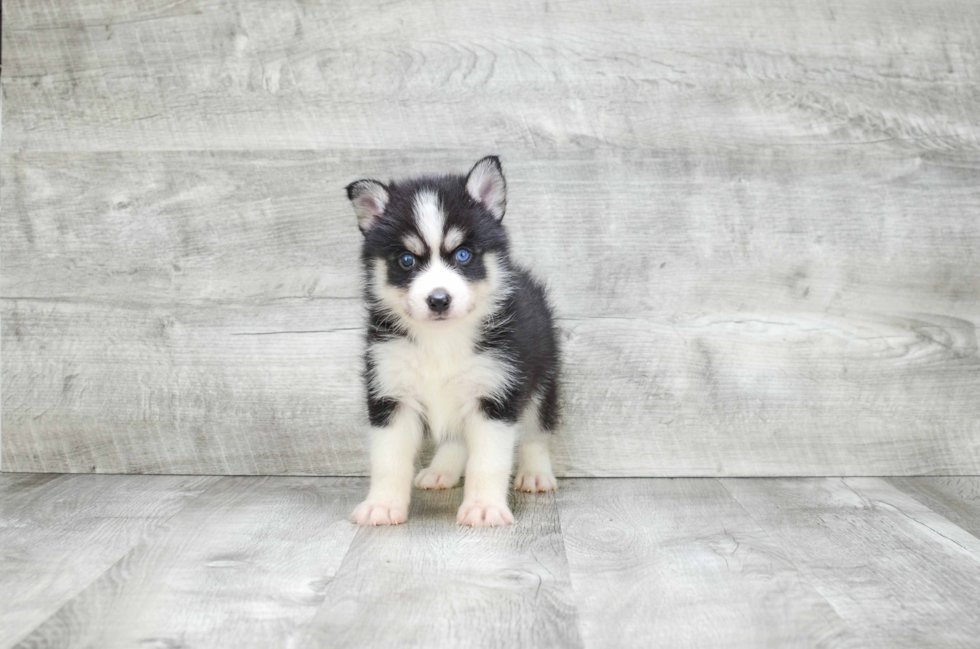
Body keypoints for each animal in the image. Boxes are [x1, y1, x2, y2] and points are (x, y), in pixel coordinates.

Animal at [344, 156, 560, 528]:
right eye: (406, 260)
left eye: (462, 255)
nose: (439, 299)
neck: (441, 341)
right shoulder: (391, 393)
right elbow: (388, 459)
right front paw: (382, 505)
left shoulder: (495, 394)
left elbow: (488, 461)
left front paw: (484, 507)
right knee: (457, 438)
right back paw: (441, 470)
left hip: (542, 377)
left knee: (535, 431)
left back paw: (535, 474)